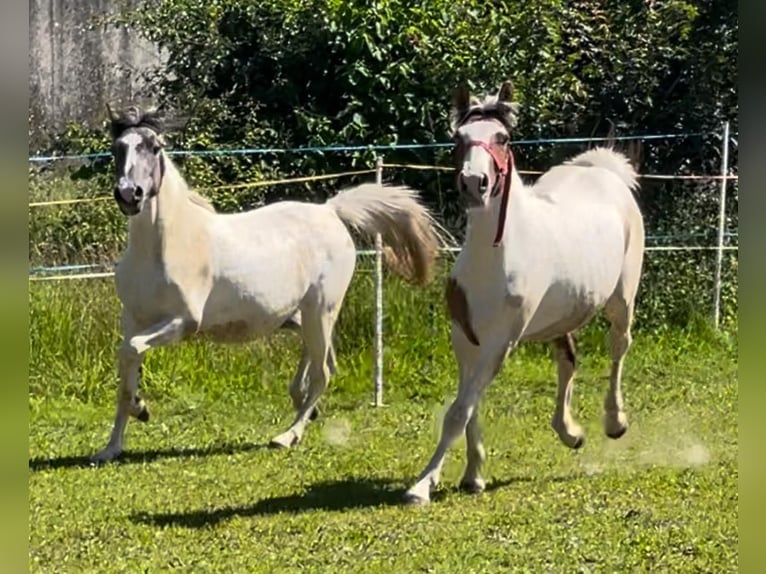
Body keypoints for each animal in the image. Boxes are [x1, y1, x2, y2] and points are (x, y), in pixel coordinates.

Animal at [93, 104, 444, 464]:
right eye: (117, 148)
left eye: (154, 147)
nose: (129, 194)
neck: (164, 245)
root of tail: (331, 212)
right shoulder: (134, 318)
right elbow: (126, 366)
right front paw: (114, 443)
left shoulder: (184, 321)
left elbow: (132, 349)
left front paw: (139, 410)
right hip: (303, 316)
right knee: (319, 361)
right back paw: (304, 407)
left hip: (322, 309)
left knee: (323, 372)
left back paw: (288, 435)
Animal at [404, 83, 644, 506]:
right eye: (458, 138)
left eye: (502, 138)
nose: (474, 183)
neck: (494, 256)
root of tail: (605, 170)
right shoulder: (465, 338)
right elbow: (468, 406)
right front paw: (473, 475)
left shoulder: (500, 343)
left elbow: (458, 412)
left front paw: (423, 484)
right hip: (561, 316)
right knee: (568, 359)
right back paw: (570, 432)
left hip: (622, 301)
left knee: (619, 347)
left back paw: (614, 421)